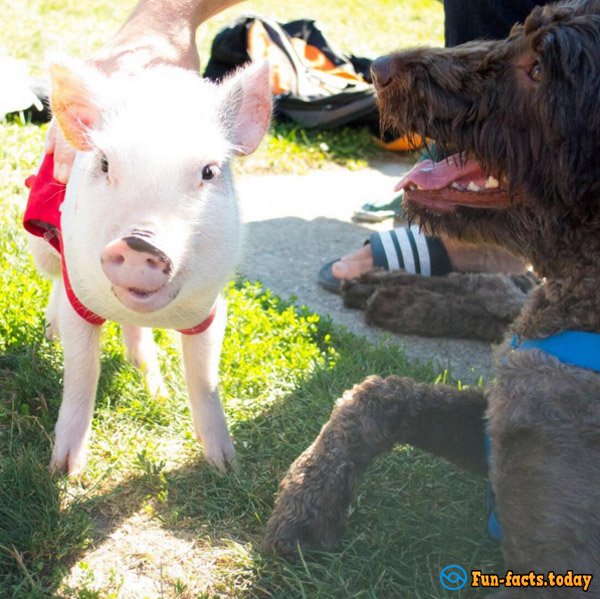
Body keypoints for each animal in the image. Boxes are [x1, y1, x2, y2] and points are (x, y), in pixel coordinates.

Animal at [25, 61, 272, 478]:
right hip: (42, 243)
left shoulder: (210, 311)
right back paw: (51, 333)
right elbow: (82, 373)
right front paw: (63, 471)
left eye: (208, 171)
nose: (139, 243)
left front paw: (225, 465)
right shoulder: (81, 303)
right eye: (105, 164)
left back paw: (156, 389)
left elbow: (204, 378)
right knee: (56, 274)